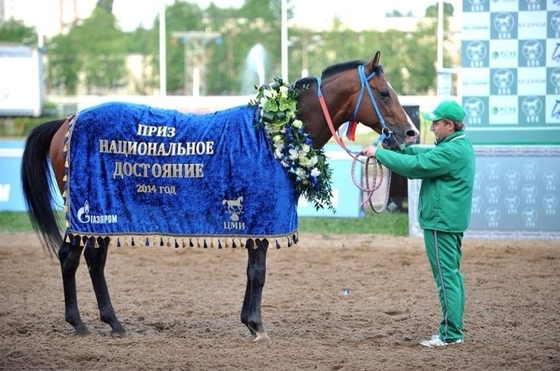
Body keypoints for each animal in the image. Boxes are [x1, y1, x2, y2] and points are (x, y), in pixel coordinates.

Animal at [21, 50, 420, 344]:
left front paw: (249, 321)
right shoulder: (261, 215)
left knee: (93, 260)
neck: (278, 133)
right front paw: (257, 326)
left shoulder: (254, 220)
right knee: (71, 258)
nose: (411, 132)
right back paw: (78, 322)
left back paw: (112, 322)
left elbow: (253, 271)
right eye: (384, 93)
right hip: (89, 209)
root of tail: (66, 122)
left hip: (105, 213)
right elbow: (258, 272)